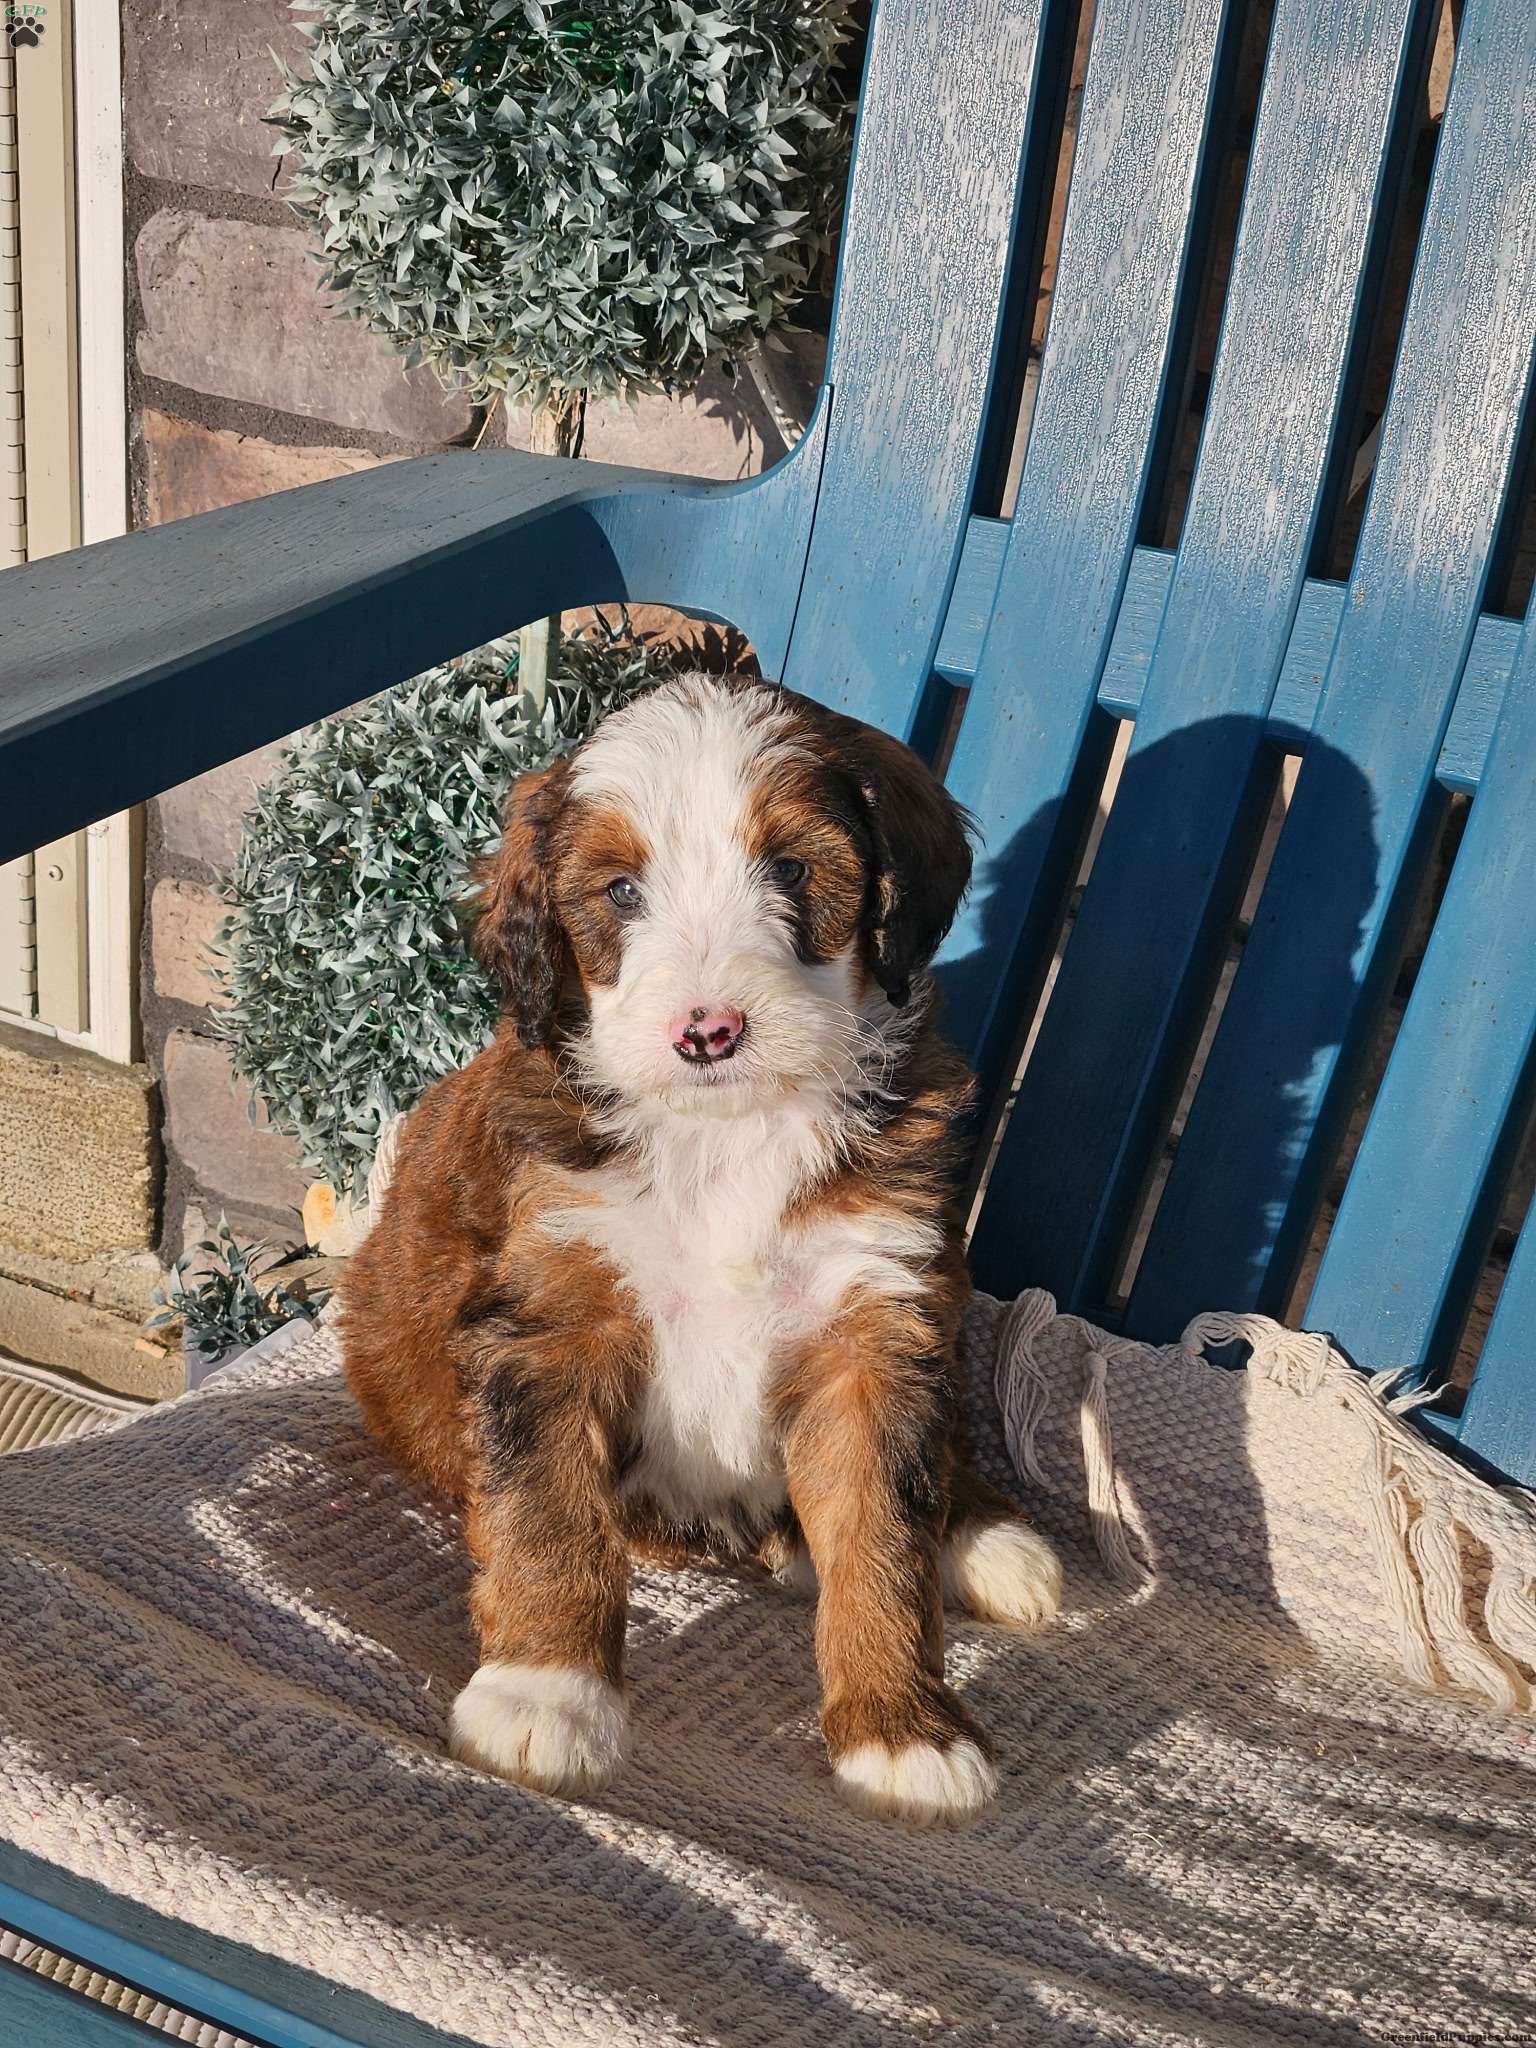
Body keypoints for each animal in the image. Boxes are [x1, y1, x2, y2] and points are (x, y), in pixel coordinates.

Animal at [342, 673, 1061, 1826]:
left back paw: (985, 1535)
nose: (707, 1030)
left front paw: (902, 1726)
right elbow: (549, 1516)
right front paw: (546, 1694)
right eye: (622, 891)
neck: (727, 1134)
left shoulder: (873, 1322)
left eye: (794, 870)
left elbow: (883, 1535)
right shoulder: (551, 1319)